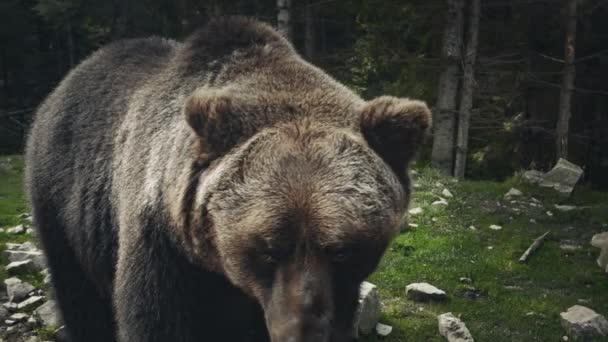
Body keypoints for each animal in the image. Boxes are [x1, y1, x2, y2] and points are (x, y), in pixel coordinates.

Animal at [25, 17, 432, 342]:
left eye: (342, 249)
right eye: (267, 249)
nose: (301, 333)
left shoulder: (339, 291)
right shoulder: (163, 250)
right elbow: (156, 321)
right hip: (62, 198)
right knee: (78, 294)